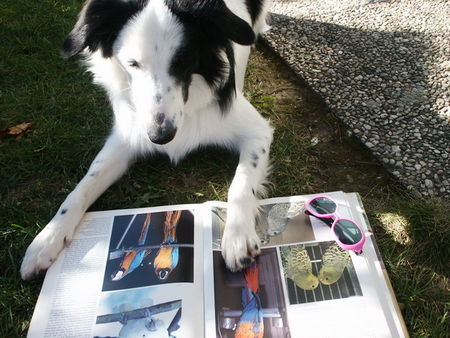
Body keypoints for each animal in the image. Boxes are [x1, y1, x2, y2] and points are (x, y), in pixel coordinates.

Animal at [20, 0, 274, 278]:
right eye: (133, 64)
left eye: (184, 61)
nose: (160, 136)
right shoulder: (126, 137)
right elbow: (84, 185)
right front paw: (48, 237)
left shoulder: (257, 131)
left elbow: (240, 185)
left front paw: (238, 237)